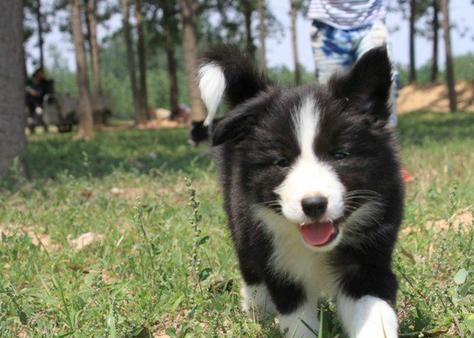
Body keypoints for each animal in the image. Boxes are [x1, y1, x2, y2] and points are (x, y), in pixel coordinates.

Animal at [199, 45, 404, 338]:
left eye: (340, 155)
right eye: (282, 162)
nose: (314, 204)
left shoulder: (369, 260)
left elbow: (373, 312)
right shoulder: (280, 267)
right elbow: (297, 319)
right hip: (239, 214)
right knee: (249, 265)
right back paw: (256, 307)